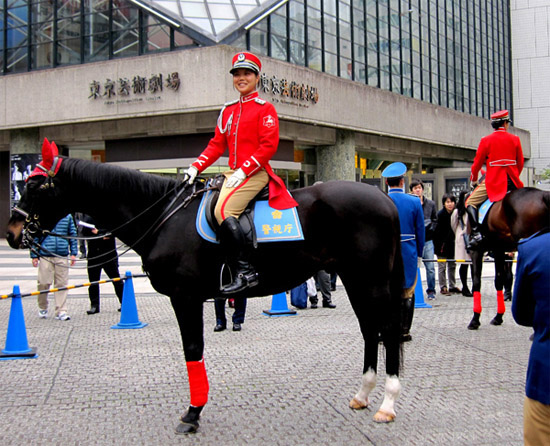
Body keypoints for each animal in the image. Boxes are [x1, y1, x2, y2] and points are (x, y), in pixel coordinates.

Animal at [6, 139, 408, 432]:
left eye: (36, 185)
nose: (12, 232)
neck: (163, 216)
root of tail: (383, 197)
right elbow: (193, 352)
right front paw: (195, 409)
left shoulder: (185, 298)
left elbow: (192, 350)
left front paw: (192, 413)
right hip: (356, 280)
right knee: (370, 330)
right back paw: (363, 394)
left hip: (371, 280)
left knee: (387, 330)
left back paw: (387, 403)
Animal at [470, 186, 550, 330]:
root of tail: (543, 195)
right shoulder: (499, 250)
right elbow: (498, 280)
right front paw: (498, 317)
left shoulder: (477, 251)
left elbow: (477, 282)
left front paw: (475, 319)